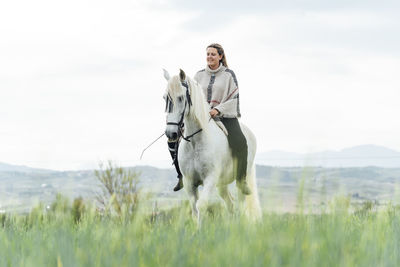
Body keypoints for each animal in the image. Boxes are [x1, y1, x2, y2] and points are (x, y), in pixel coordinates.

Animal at [163, 69, 262, 224]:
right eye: (165, 98)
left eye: (180, 98)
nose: (171, 133)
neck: (195, 142)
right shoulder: (189, 182)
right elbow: (194, 209)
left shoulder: (210, 179)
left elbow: (202, 206)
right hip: (222, 184)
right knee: (230, 205)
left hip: (240, 180)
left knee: (241, 204)